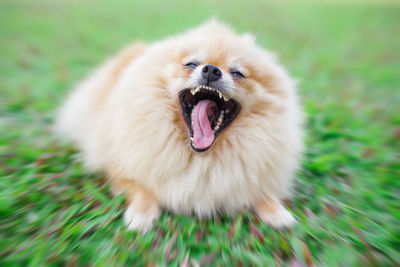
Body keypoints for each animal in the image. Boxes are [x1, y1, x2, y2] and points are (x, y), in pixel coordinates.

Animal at [54, 20, 304, 232]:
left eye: (238, 73)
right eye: (191, 64)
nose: (211, 69)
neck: (201, 157)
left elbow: (261, 190)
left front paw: (275, 210)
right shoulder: (119, 169)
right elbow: (141, 188)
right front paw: (141, 213)